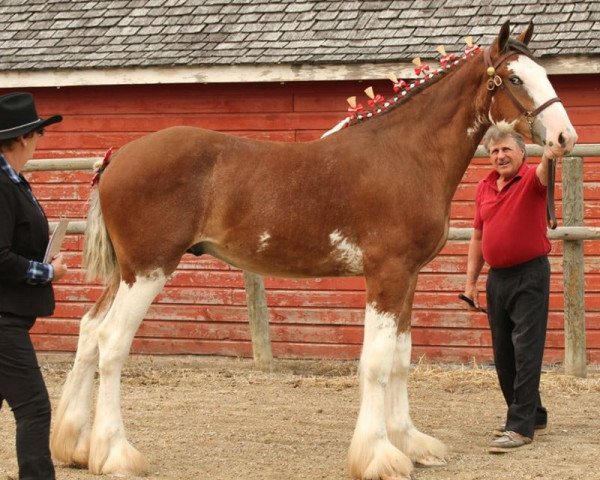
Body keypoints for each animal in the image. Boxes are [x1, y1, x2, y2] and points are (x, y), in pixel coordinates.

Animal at [52, 22, 576, 480]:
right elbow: (377, 361)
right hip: (149, 269)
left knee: (88, 330)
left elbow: (401, 358)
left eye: (544, 74)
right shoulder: (385, 275)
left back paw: (74, 446)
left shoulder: (407, 277)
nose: (564, 138)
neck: (406, 155)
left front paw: (411, 444)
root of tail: (116, 157)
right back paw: (116, 454)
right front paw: (378, 456)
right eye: (515, 78)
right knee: (111, 342)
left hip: (125, 272)